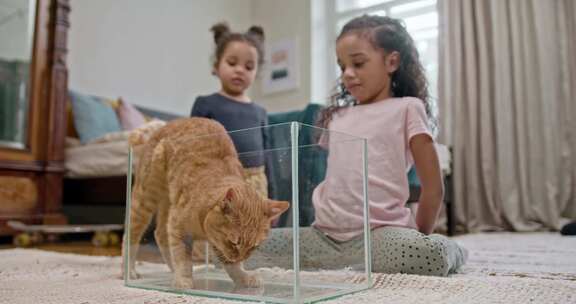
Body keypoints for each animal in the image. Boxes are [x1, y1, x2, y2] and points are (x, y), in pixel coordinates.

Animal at [124, 117, 290, 288]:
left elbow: (231, 266)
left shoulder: (215, 242)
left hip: (167, 204)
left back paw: (172, 270)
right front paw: (183, 280)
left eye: (254, 246)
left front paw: (243, 277)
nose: (240, 258)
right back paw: (128, 271)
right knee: (131, 235)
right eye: (234, 242)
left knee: (160, 234)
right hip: (146, 199)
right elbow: (183, 259)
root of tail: (169, 123)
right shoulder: (178, 229)